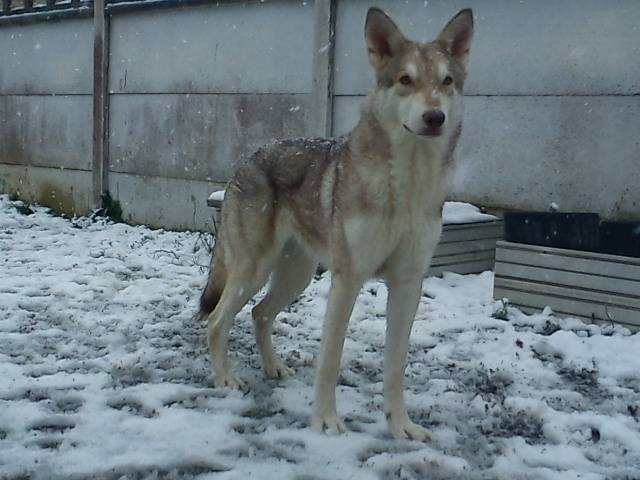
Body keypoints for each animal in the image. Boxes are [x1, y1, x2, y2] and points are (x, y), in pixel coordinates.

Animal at [198, 7, 474, 441]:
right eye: (406, 80)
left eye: (446, 82)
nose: (434, 117)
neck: (407, 184)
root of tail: (251, 154)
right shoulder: (347, 280)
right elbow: (330, 360)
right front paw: (325, 421)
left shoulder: (408, 283)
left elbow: (395, 368)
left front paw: (402, 426)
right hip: (253, 271)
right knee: (216, 321)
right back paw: (225, 378)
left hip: (296, 276)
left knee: (259, 314)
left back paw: (273, 368)